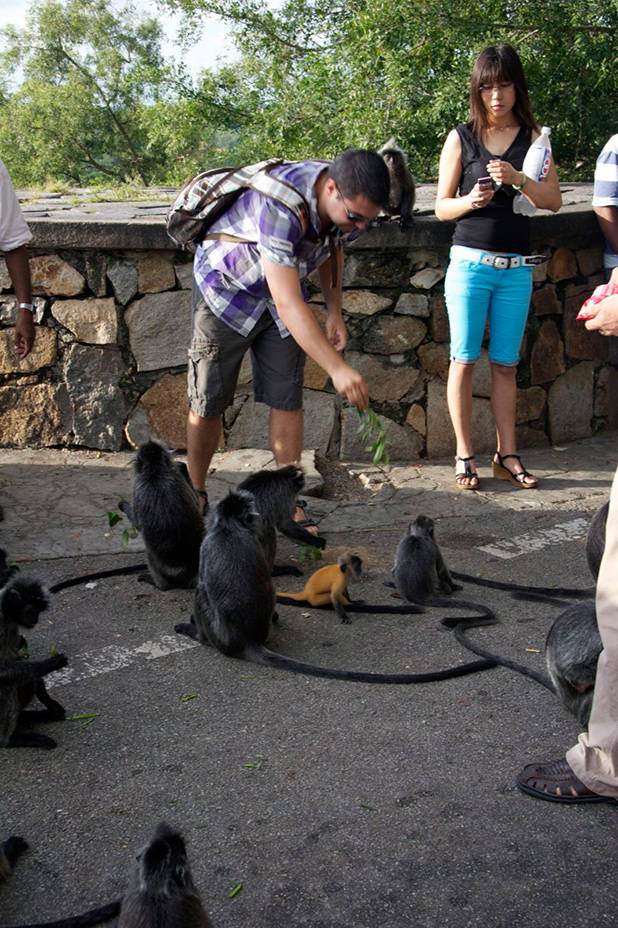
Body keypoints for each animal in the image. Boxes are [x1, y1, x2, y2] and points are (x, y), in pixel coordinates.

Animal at [0, 576, 67, 752]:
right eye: (31, 611)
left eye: (38, 612)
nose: (35, 619)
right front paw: (51, 664)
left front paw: (49, 702)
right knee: (7, 686)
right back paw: (11, 740)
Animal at [119, 440, 206, 588]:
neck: (155, 471)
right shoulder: (176, 478)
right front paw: (182, 467)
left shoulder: (138, 486)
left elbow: (137, 523)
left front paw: (123, 505)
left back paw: (160, 585)